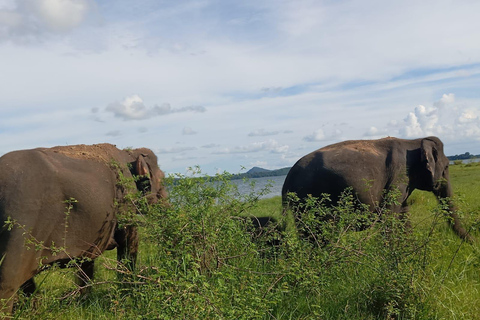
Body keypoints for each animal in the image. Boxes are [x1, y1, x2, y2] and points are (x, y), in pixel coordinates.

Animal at [0, 144, 168, 316]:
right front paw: (128, 294)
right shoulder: (125, 203)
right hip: (20, 228)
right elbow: (128, 242)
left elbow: (87, 261)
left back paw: (35, 308)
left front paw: (84, 302)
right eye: (161, 180)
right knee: (8, 282)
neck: (129, 153)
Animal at [284, 136, 470, 241]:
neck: (414, 141)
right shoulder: (398, 176)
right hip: (308, 199)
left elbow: (403, 214)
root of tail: (286, 181)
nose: (473, 246)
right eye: (447, 167)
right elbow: (389, 216)